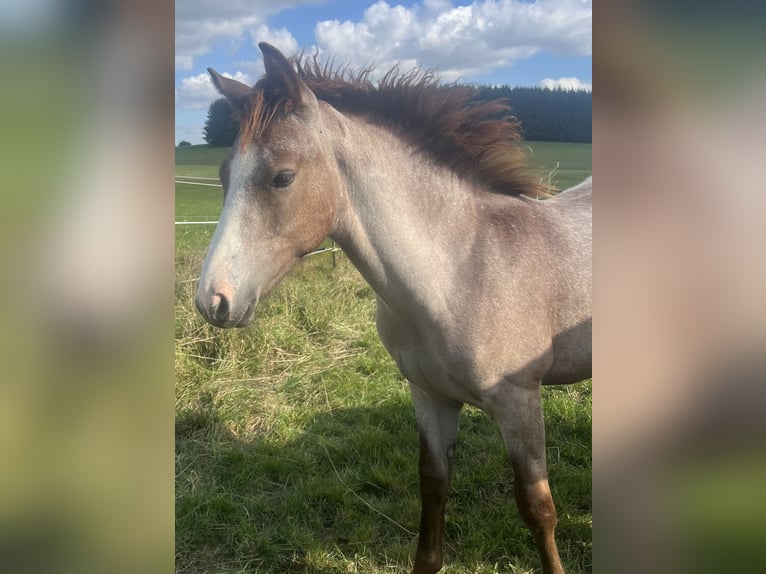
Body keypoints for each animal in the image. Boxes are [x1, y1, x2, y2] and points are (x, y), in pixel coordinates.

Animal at [195, 41, 592, 574]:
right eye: (223, 174)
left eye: (282, 178)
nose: (213, 300)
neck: (458, 273)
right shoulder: (429, 395)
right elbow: (433, 485)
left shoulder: (520, 400)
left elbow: (537, 507)